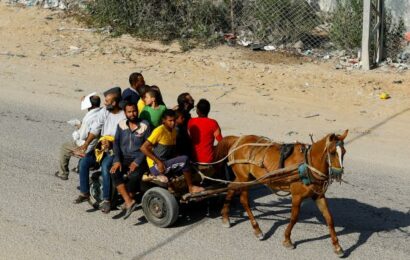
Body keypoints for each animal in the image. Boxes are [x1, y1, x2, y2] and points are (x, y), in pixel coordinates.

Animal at [215, 130, 350, 256]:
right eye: (332, 152)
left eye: (344, 152)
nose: (338, 174)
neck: (308, 164)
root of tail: (238, 139)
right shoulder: (297, 196)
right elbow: (294, 218)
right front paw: (287, 239)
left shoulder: (318, 195)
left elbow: (329, 218)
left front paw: (337, 246)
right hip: (244, 178)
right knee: (244, 200)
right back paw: (257, 229)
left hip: (244, 178)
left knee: (230, 187)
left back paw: (225, 217)